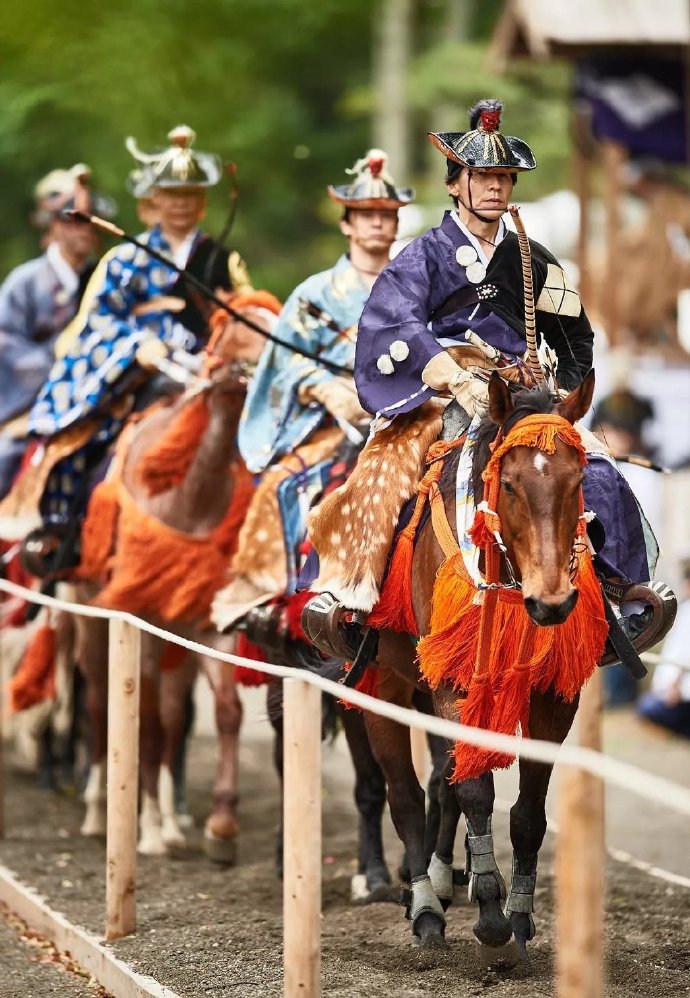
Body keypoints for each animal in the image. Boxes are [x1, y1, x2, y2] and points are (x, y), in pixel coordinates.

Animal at [362, 372, 600, 964]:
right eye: (510, 485)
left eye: (578, 479)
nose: (553, 602)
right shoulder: (451, 680)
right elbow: (474, 790)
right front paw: (491, 915)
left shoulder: (554, 696)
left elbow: (527, 812)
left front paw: (518, 916)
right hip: (386, 680)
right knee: (404, 792)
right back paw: (424, 905)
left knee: (439, 783)